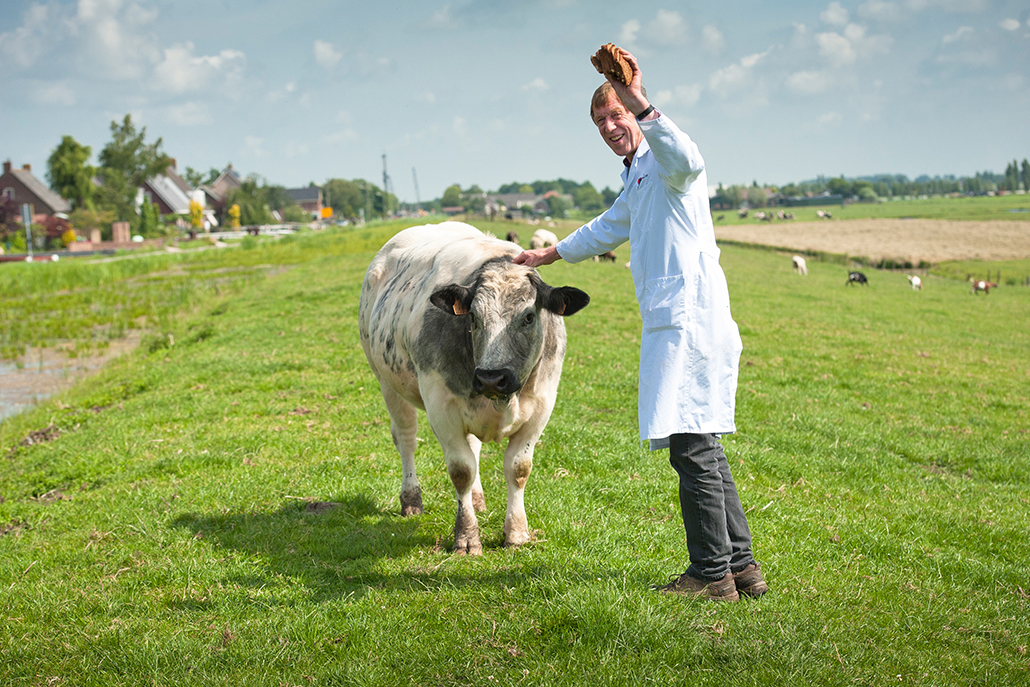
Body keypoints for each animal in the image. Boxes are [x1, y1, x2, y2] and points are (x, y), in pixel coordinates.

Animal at [360, 223, 589, 556]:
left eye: (528, 316)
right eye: (474, 317)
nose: (492, 378)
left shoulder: (541, 406)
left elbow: (518, 468)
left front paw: (516, 532)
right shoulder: (441, 407)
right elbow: (461, 470)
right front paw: (467, 536)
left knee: (473, 446)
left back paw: (478, 499)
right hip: (388, 383)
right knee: (406, 439)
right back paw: (411, 499)